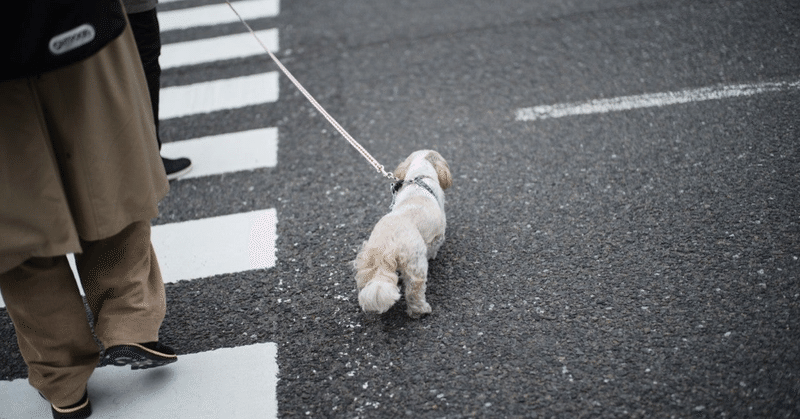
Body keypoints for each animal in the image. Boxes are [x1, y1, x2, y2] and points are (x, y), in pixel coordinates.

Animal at [354, 149, 454, 316]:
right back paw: (421, 311)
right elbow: (434, 247)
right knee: (414, 291)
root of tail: (387, 247)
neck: (420, 177)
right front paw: (433, 255)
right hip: (416, 264)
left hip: (368, 262)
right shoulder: (438, 235)